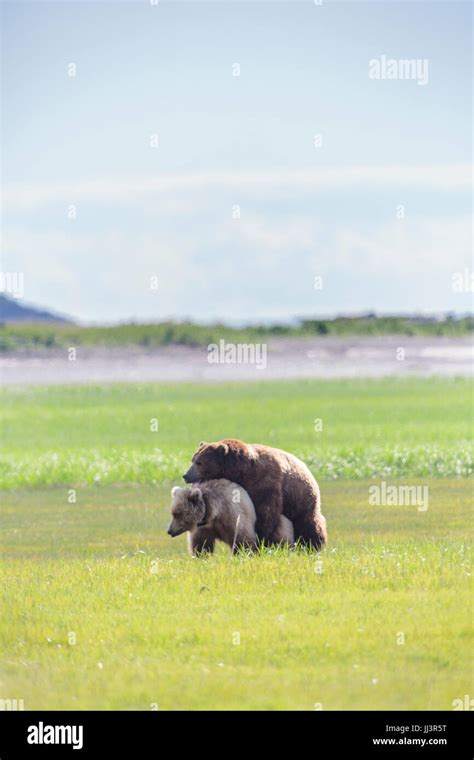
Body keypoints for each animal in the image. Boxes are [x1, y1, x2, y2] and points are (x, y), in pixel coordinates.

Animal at [183, 440, 328, 552]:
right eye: (193, 459)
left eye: (199, 462)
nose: (185, 475)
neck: (241, 471)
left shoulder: (265, 482)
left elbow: (266, 514)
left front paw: (262, 540)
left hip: (302, 499)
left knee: (309, 524)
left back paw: (312, 545)